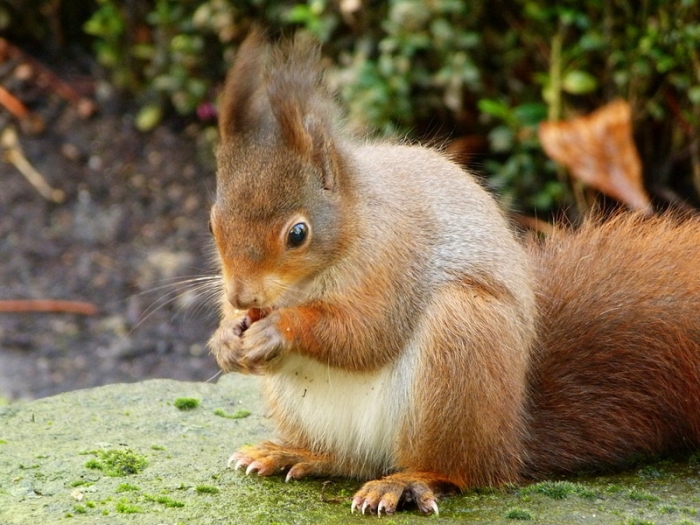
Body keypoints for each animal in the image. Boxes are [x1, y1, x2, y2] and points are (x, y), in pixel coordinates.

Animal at [207, 30, 700, 515]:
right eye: (213, 223)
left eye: (298, 233)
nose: (243, 297)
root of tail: (510, 441)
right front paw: (226, 337)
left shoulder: (393, 259)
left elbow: (366, 333)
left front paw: (278, 329)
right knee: (349, 460)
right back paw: (295, 452)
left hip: (461, 340)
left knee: (458, 471)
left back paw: (405, 482)